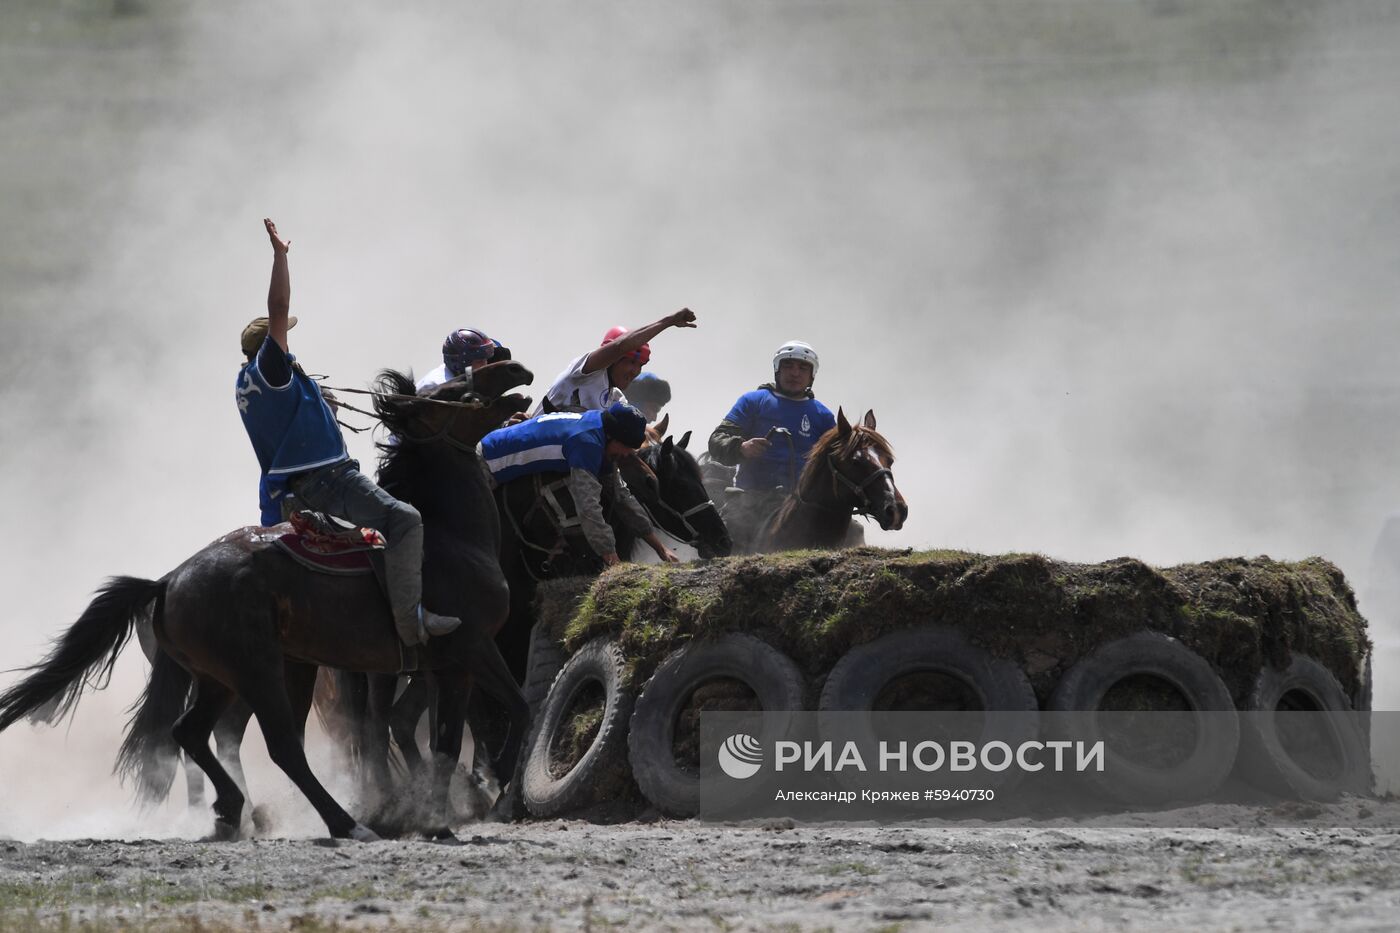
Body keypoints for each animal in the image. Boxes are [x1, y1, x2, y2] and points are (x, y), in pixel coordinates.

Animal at [0, 358, 532, 840]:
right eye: (455, 392)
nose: (514, 367)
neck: (452, 536)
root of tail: (169, 581)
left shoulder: (447, 667)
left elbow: (445, 743)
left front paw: (439, 819)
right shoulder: (474, 649)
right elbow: (515, 709)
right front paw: (492, 797)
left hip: (220, 678)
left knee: (191, 733)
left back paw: (233, 809)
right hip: (257, 673)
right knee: (280, 746)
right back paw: (343, 823)